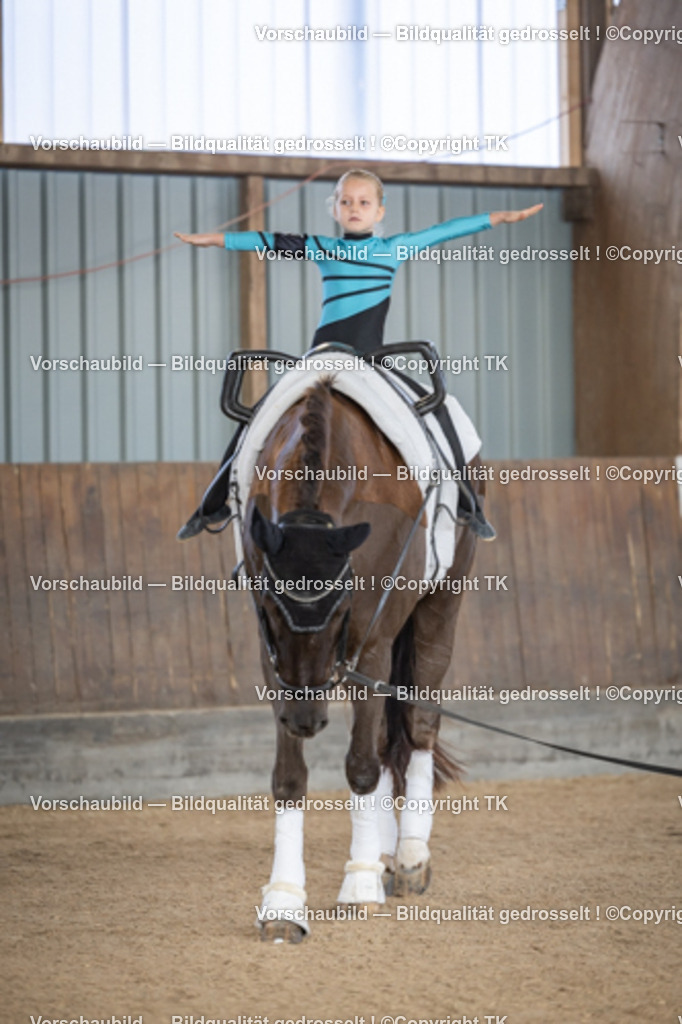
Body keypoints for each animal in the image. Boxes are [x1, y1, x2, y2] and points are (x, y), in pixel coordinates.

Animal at [239, 376, 484, 942]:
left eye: (343, 608)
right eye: (269, 607)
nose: (306, 720)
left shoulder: (370, 645)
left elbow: (361, 766)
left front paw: (359, 886)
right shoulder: (272, 661)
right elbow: (290, 776)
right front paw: (284, 901)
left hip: (441, 605)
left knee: (417, 725)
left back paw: (410, 854)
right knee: (381, 736)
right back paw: (386, 851)